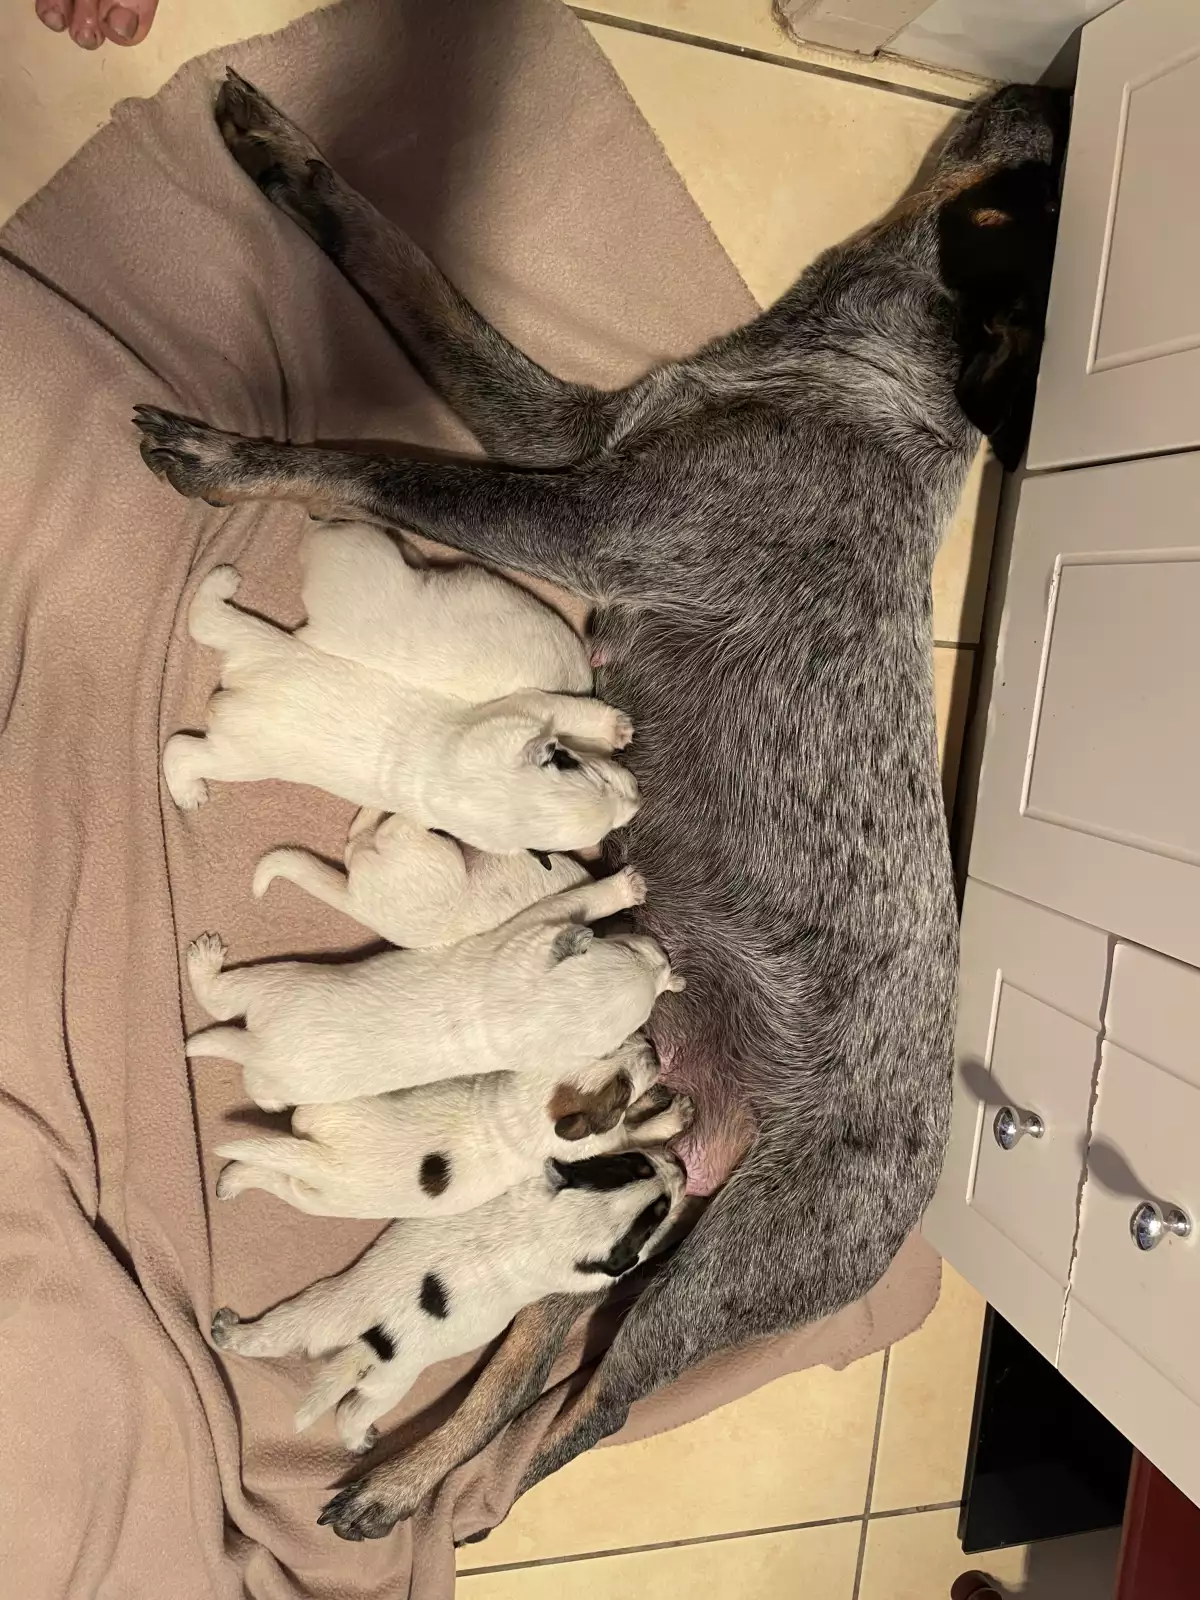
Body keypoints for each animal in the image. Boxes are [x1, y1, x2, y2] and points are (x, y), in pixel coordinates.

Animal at [163, 561, 638, 854]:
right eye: (572, 764)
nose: (637, 801)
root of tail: (245, 673)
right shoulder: (525, 707)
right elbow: (566, 707)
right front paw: (615, 727)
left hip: (259, 638)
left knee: (208, 620)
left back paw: (221, 581)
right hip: (242, 753)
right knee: (181, 751)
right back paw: (189, 792)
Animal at [185, 866, 683, 1111]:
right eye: (624, 944)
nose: (663, 956)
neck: (534, 1007)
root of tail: (257, 1048)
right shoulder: (531, 931)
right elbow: (577, 899)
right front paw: (627, 889)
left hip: (278, 995)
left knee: (229, 1010)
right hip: (282, 985)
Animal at [209, 1149, 687, 1457]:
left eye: (639, 1163)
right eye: (657, 1207)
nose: (681, 1165)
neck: (551, 1225)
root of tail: (375, 1336)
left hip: (320, 1307)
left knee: (272, 1333)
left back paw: (228, 1331)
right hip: (391, 1382)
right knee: (352, 1410)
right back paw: (359, 1440)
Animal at [213, 1033, 694, 1218]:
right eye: (620, 1087)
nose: (653, 1048)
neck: (533, 1099)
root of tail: (321, 1159)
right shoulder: (603, 1144)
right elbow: (636, 1130)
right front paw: (672, 1113)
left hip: (315, 1133)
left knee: (268, 1168)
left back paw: (229, 1181)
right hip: (326, 1199)